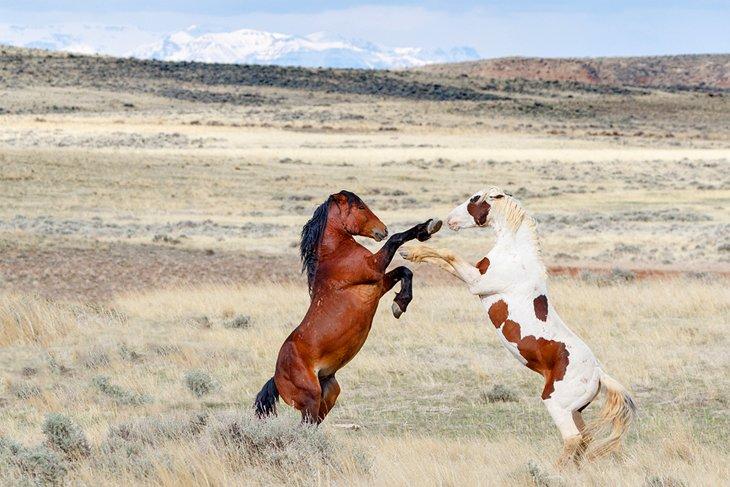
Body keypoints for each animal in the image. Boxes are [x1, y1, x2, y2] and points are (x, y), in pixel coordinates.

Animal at [254, 190, 442, 423]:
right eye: (360, 207)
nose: (382, 230)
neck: (335, 252)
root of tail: (277, 376)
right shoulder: (373, 267)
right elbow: (396, 240)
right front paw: (426, 228)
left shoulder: (378, 284)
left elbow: (405, 271)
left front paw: (400, 303)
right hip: (310, 399)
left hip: (329, 393)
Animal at [400, 186, 636, 466]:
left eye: (475, 199)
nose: (448, 220)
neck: (515, 255)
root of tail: (598, 374)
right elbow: (442, 260)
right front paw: (409, 252)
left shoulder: (477, 283)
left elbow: (449, 254)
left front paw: (410, 250)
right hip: (574, 410)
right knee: (584, 439)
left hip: (556, 404)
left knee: (573, 439)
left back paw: (554, 469)